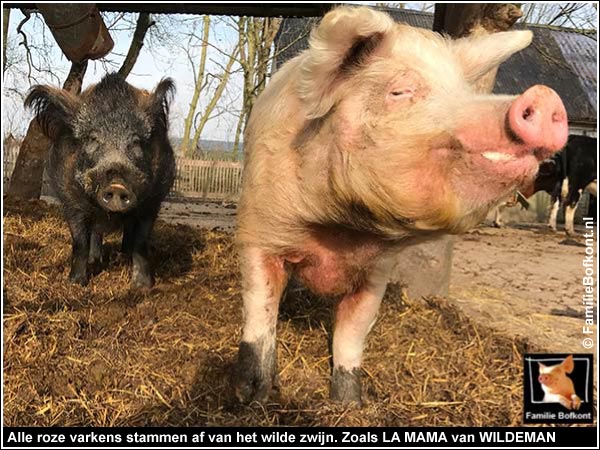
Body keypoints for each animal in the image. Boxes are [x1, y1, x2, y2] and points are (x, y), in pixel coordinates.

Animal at [26, 72, 176, 286]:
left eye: (135, 142)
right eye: (92, 139)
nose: (117, 185)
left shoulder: (152, 202)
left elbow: (140, 242)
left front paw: (143, 287)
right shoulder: (70, 201)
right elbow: (80, 241)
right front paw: (76, 283)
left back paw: (122, 256)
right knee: (96, 233)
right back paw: (95, 259)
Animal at [233, 6, 568, 404]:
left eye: (464, 92)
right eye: (400, 91)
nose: (546, 97)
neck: (341, 231)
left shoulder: (377, 271)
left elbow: (353, 331)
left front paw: (351, 403)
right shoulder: (259, 232)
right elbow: (259, 311)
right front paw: (249, 397)